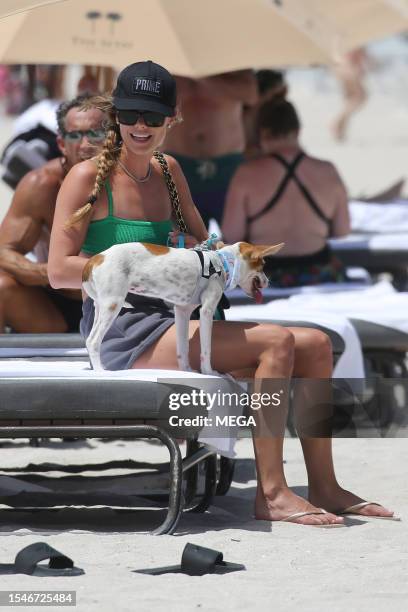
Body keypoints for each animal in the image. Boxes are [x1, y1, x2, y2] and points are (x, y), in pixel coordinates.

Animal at [81, 240, 282, 372]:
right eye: (263, 265)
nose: (268, 281)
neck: (222, 263)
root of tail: (95, 258)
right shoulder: (207, 311)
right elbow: (206, 349)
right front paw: (208, 372)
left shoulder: (182, 311)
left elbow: (183, 348)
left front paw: (186, 370)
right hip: (113, 304)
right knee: (92, 341)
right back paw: (100, 370)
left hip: (101, 306)